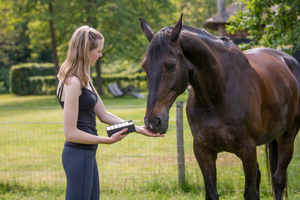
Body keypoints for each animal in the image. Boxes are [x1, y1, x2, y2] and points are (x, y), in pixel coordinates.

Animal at [139, 13, 300, 199]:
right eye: (144, 66)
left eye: (171, 65)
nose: (153, 122)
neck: (216, 96)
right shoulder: (203, 151)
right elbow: (212, 192)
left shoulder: (247, 149)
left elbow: (250, 192)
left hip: (287, 136)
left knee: (279, 179)